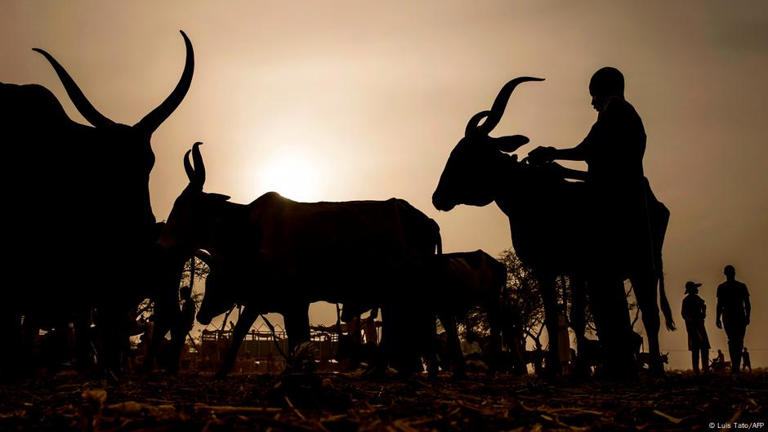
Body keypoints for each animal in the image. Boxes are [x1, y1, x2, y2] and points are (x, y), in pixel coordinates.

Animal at [158, 142, 441, 377]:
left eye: (183, 204)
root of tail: (426, 220)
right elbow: (290, 337)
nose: (163, 240)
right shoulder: (283, 301)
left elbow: (253, 332)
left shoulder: (284, 299)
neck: (248, 228)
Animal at [432, 77, 675, 376]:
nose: (437, 197)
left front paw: (571, 369)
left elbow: (571, 316)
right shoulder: (557, 268)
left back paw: (654, 369)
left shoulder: (570, 268)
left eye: (467, 154)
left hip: (643, 265)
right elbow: (561, 315)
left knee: (650, 314)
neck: (534, 196)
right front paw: (564, 369)